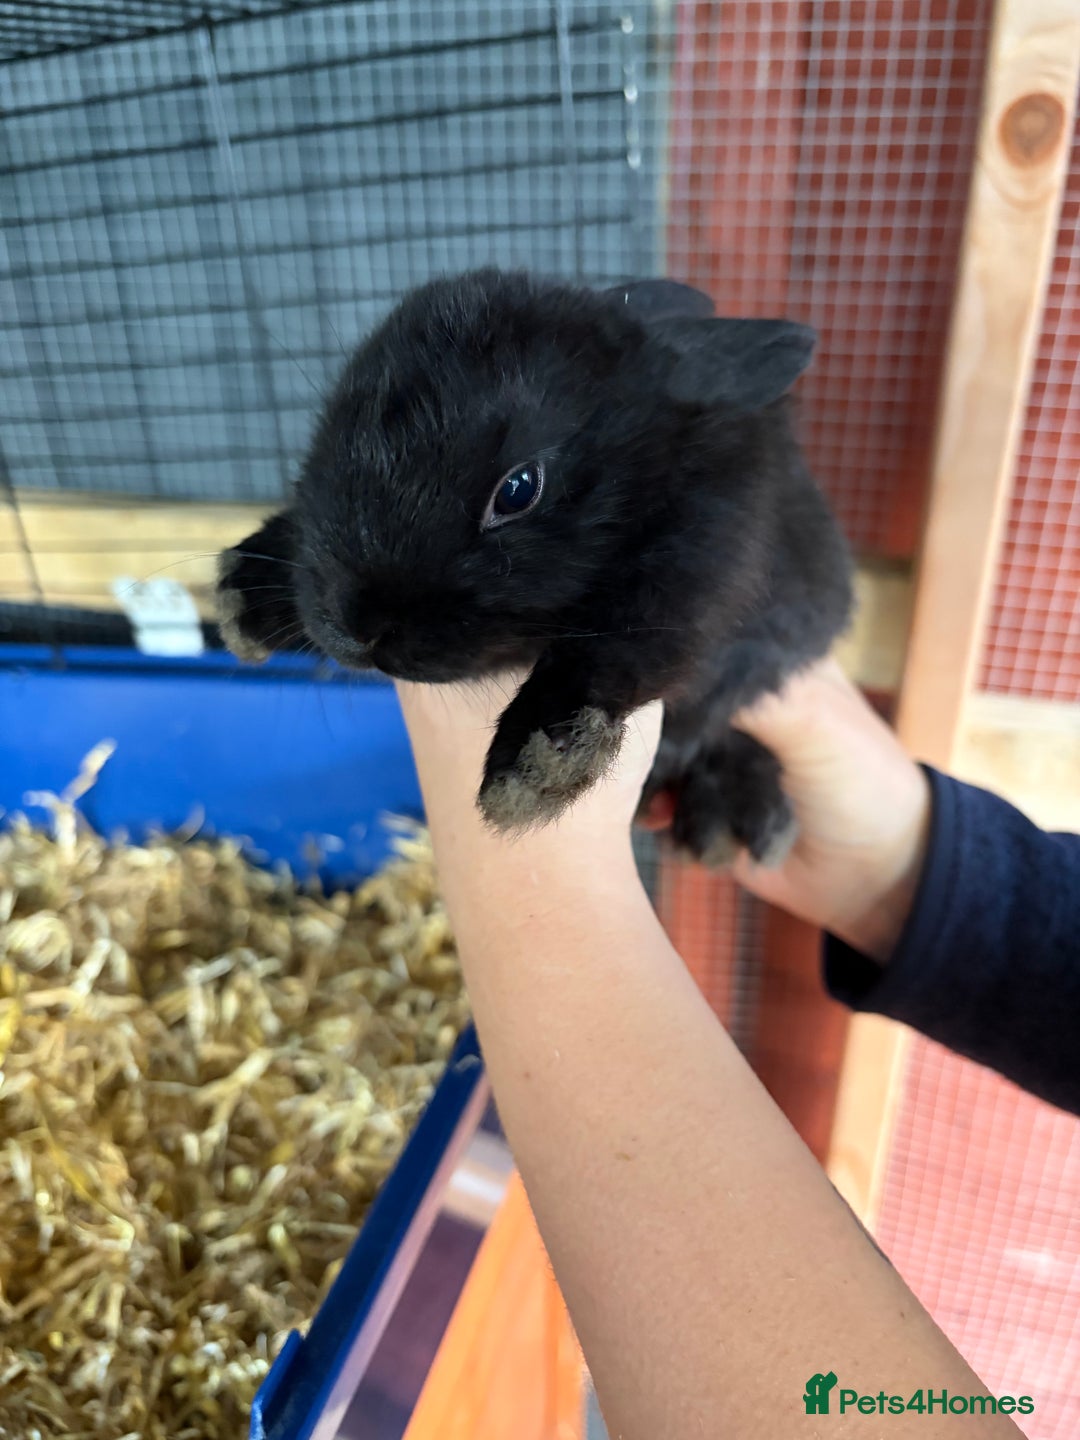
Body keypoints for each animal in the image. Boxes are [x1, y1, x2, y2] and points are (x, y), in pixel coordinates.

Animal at [216, 267, 853, 866]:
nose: (356, 631)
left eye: (519, 489)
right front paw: (245, 594)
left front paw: (532, 769)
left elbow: (622, 647)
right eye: (330, 426)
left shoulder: (695, 577)